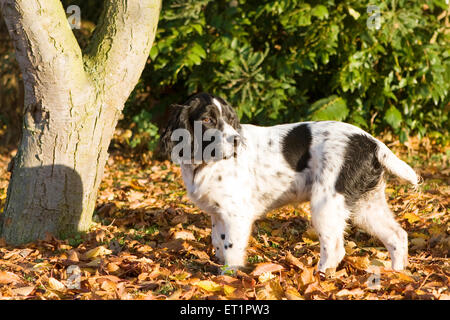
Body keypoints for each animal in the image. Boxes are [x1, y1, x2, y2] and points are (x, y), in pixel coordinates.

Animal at [158, 92, 418, 272]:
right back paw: (396, 274)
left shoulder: (236, 214)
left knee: (335, 248)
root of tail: (371, 143)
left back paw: (320, 276)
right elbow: (218, 242)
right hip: (366, 204)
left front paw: (229, 279)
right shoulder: (218, 213)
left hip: (327, 204)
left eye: (231, 120)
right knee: (397, 236)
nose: (236, 141)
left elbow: (232, 249)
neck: (206, 162)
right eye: (207, 119)